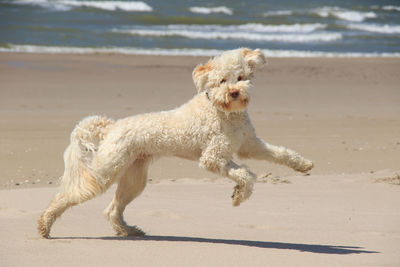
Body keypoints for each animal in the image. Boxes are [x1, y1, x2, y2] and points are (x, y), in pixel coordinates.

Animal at [37, 48, 314, 239]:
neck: (222, 111)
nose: (235, 93)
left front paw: (302, 164)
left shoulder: (249, 144)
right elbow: (245, 174)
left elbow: (280, 153)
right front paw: (239, 195)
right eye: (222, 81)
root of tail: (111, 127)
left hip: (134, 178)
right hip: (104, 173)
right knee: (67, 196)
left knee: (112, 209)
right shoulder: (213, 158)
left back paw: (128, 231)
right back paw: (45, 225)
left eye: (241, 76)